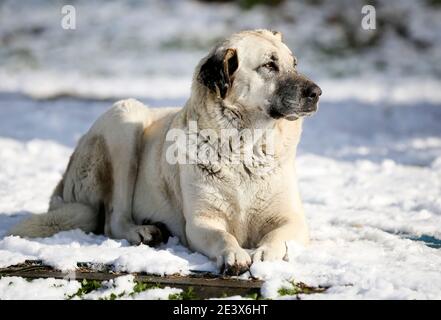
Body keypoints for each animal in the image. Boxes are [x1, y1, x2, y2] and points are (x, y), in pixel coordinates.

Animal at [9, 29, 320, 276]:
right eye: (269, 65)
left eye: (294, 64)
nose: (317, 92)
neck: (245, 145)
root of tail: (64, 181)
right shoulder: (201, 222)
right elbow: (223, 237)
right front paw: (234, 254)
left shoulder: (292, 219)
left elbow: (278, 236)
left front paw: (264, 253)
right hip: (125, 119)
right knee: (113, 219)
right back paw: (143, 231)